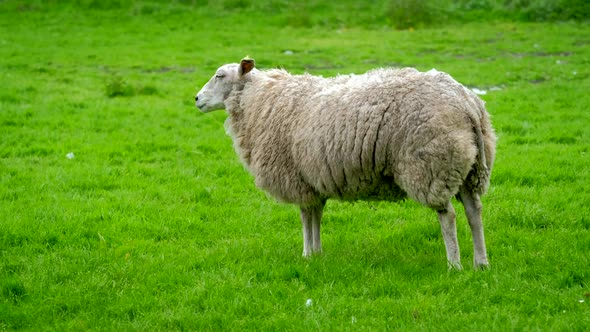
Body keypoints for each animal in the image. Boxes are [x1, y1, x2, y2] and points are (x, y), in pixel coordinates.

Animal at [197, 57, 498, 270]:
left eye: (220, 75)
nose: (196, 99)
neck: (258, 101)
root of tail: (466, 102)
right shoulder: (312, 179)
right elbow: (316, 215)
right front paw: (317, 253)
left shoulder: (296, 177)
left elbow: (305, 217)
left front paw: (306, 253)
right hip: (469, 168)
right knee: (474, 211)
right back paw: (480, 263)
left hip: (432, 165)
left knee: (448, 216)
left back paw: (454, 264)